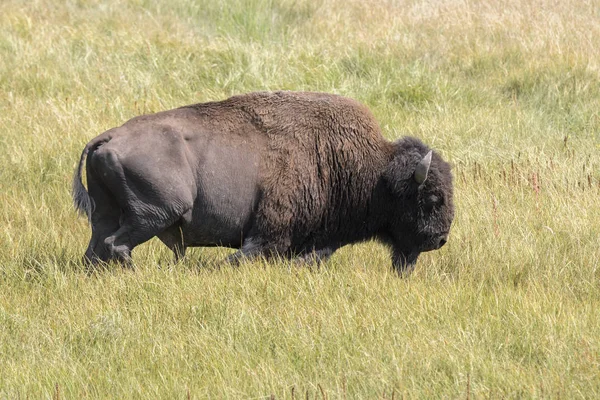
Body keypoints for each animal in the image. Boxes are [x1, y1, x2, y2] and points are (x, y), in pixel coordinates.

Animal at [71, 91, 454, 274]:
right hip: (155, 213)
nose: (440, 239)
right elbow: (248, 254)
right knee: (117, 245)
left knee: (97, 247)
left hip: (110, 214)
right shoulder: (269, 235)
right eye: (432, 198)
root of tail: (108, 137)